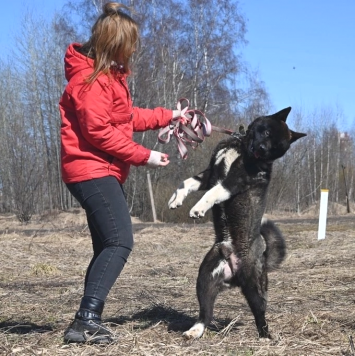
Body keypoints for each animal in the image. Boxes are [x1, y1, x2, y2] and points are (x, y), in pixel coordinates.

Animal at [168, 106, 308, 340]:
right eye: (267, 132)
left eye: (278, 148)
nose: (262, 149)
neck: (241, 147)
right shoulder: (209, 174)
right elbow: (186, 182)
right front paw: (176, 199)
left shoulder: (232, 182)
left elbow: (213, 193)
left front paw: (198, 208)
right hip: (205, 279)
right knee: (205, 313)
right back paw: (195, 330)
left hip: (254, 288)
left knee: (260, 314)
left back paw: (266, 337)